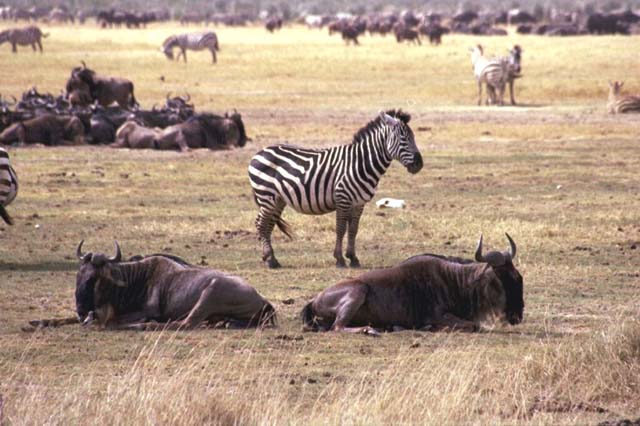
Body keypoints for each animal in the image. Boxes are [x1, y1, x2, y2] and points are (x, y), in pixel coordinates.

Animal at [248, 110, 422, 270]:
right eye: (404, 139)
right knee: (261, 224)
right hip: (267, 195)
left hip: (278, 199)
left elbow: (353, 230)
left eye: (413, 137)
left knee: (267, 224)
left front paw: (353, 258)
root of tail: (259, 152)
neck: (360, 163)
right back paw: (270, 260)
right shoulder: (342, 198)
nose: (419, 164)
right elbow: (340, 229)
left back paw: (270, 258)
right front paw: (339, 259)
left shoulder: (359, 203)